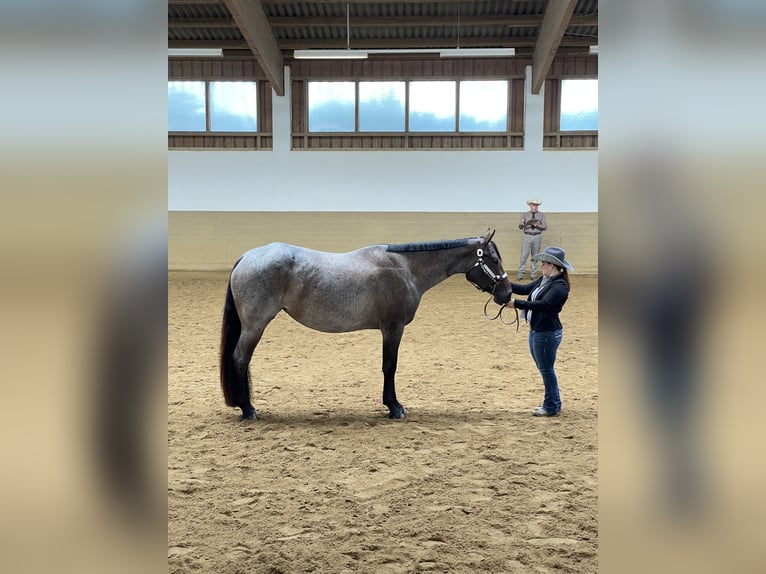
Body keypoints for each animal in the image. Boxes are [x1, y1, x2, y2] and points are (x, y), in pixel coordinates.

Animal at [219, 229, 512, 420]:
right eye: (493, 259)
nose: (507, 294)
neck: (405, 268)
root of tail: (247, 257)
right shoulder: (393, 328)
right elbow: (389, 366)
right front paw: (394, 407)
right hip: (255, 326)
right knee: (240, 359)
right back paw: (247, 409)